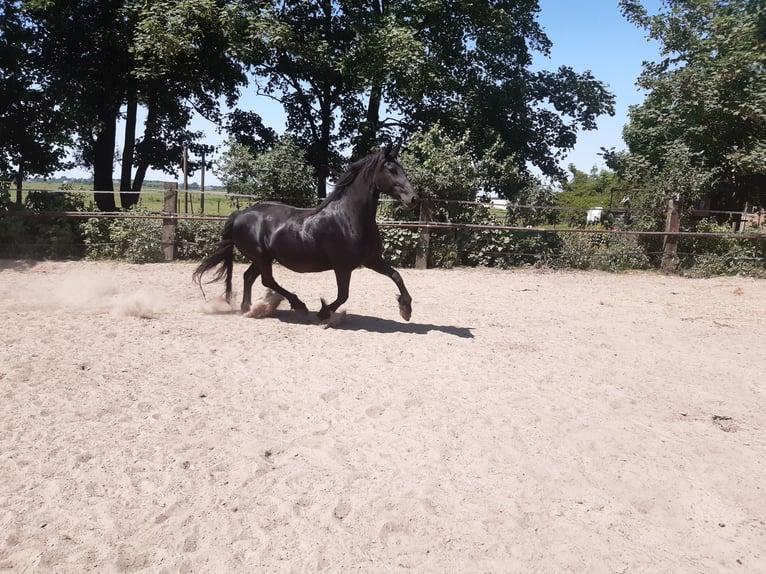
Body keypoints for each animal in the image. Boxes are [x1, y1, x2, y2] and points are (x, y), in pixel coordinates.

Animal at [192, 146, 420, 322]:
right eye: (392, 169)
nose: (413, 199)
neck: (349, 218)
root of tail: (240, 214)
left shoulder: (372, 259)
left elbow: (396, 276)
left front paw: (406, 310)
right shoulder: (343, 267)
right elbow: (343, 295)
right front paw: (323, 312)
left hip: (262, 258)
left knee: (249, 277)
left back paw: (248, 309)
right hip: (262, 257)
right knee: (267, 281)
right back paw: (298, 305)